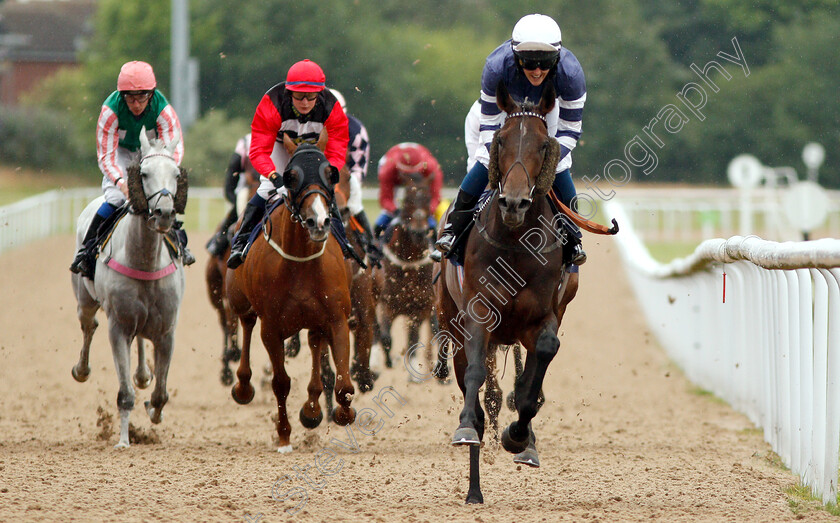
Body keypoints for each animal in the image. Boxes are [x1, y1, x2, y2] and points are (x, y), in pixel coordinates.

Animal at [71, 128, 188, 450]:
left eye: (176, 173)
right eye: (144, 173)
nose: (164, 212)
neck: (145, 260)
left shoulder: (167, 330)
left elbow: (161, 393)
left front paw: (154, 410)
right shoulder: (118, 327)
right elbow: (124, 394)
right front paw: (124, 439)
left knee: (141, 343)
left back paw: (143, 375)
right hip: (85, 300)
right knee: (88, 325)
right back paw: (81, 369)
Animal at [223, 144, 354, 454]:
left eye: (329, 174)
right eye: (292, 177)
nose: (319, 221)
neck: (302, 260)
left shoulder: (337, 318)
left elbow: (344, 385)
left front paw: (341, 413)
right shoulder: (271, 328)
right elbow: (280, 382)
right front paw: (284, 436)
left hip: (315, 320)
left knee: (316, 343)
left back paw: (312, 409)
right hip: (240, 300)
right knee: (246, 324)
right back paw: (243, 386)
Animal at [436, 82, 620, 504]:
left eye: (542, 145)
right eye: (501, 141)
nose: (515, 202)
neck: (516, 243)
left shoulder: (542, 318)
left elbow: (534, 379)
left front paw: (520, 438)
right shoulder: (477, 314)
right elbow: (476, 382)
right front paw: (467, 427)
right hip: (451, 322)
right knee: (473, 386)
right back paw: (474, 488)